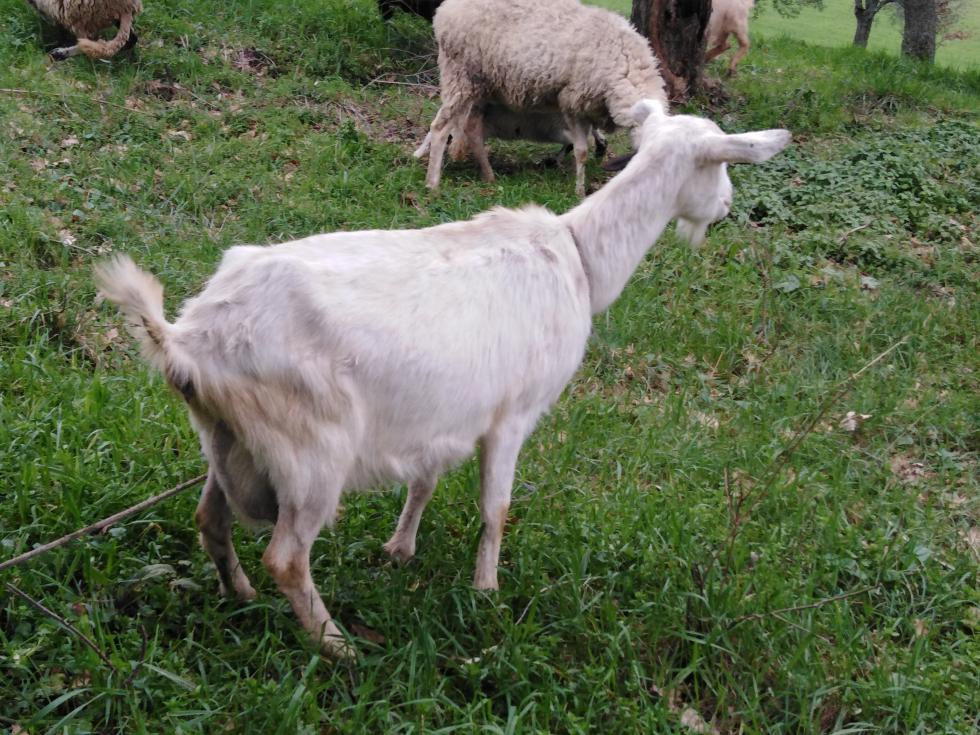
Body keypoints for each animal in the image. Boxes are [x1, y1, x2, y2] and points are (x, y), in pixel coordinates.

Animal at [95, 101, 790, 659]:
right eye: (718, 164)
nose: (727, 207)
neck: (579, 256)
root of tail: (187, 340)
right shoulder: (513, 413)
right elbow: (496, 508)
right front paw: (486, 592)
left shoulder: (440, 415)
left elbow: (425, 481)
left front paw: (400, 549)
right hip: (311, 451)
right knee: (286, 557)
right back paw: (337, 646)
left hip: (227, 439)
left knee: (210, 519)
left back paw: (238, 594)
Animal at [419, 0, 668, 197]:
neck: (627, 64)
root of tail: (445, 9)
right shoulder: (572, 102)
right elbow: (581, 151)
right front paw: (579, 191)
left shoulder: (592, 109)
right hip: (460, 75)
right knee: (440, 127)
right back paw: (432, 184)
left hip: (480, 87)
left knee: (472, 130)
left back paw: (489, 176)